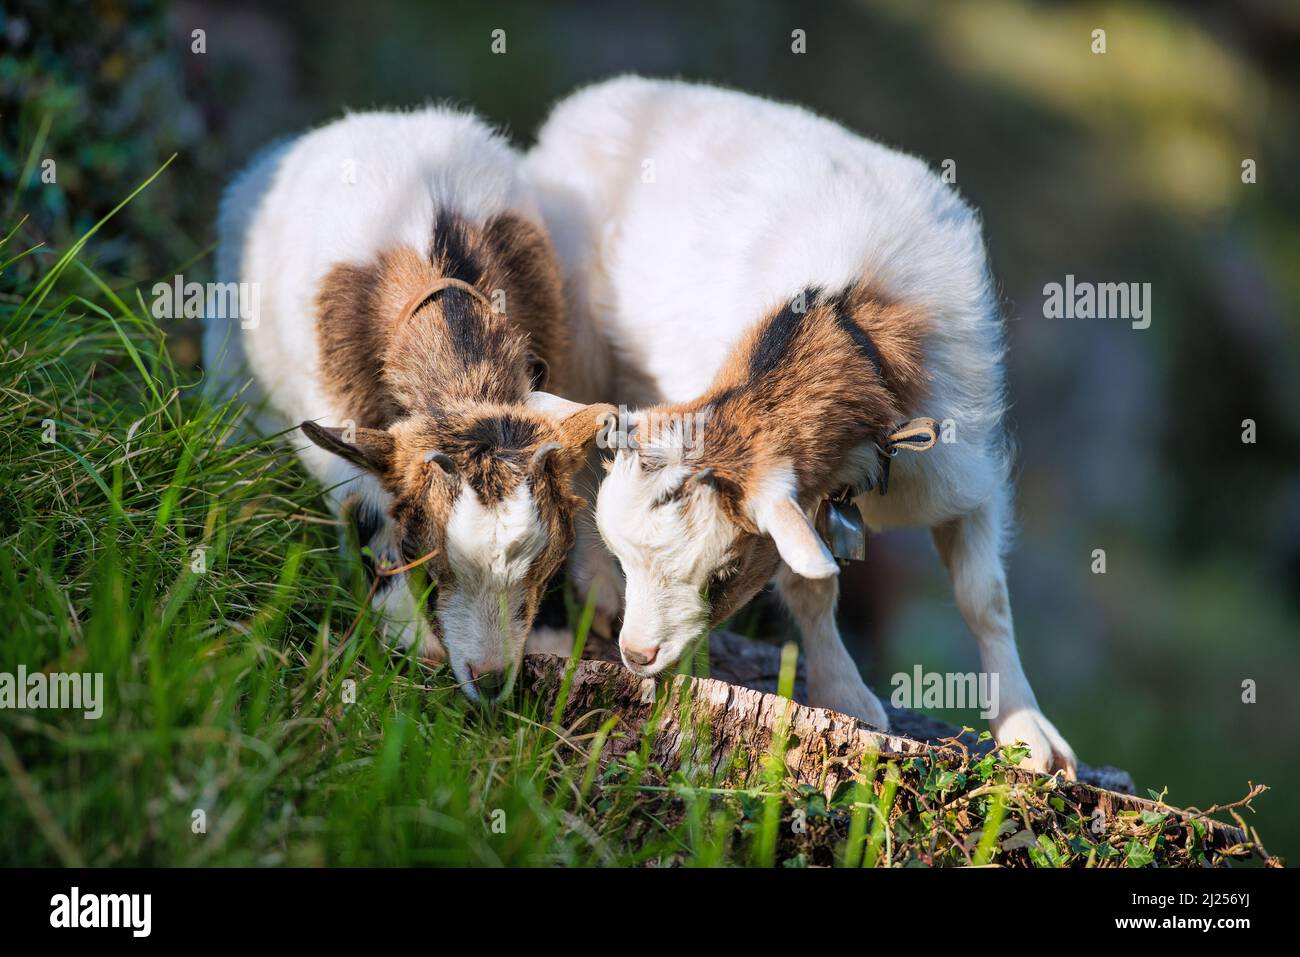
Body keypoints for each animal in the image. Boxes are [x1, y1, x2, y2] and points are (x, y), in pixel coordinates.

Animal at [525, 77, 1077, 775]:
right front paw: (846, 694)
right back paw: (597, 593)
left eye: (724, 573)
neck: (847, 317)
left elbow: (986, 599)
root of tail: (596, 97)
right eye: (630, 556)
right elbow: (812, 588)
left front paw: (1030, 735)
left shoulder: (964, 473)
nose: (637, 657)